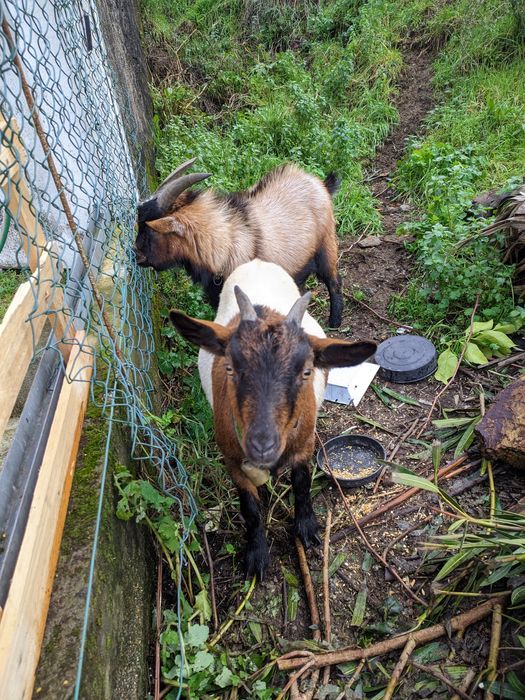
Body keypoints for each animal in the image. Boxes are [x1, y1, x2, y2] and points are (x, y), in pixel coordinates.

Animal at [137, 159, 344, 327]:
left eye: (149, 231)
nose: (136, 254)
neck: (227, 242)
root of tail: (321, 184)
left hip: (326, 245)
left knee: (333, 281)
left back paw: (334, 322)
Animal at [169, 260, 376, 579]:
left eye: (306, 371)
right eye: (230, 367)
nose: (262, 445)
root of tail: (257, 262)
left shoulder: (304, 444)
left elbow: (301, 483)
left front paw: (307, 529)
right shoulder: (232, 460)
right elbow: (250, 509)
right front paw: (256, 557)